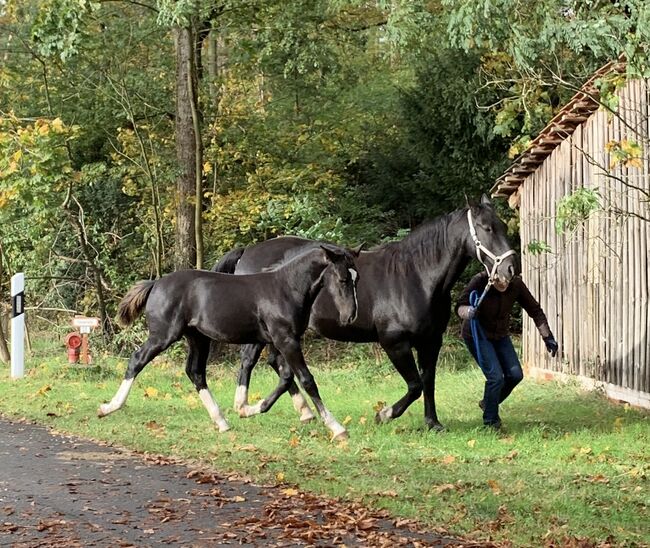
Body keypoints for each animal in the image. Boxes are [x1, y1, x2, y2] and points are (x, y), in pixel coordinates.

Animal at [97, 246, 360, 438]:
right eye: (342, 279)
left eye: (356, 279)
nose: (350, 316)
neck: (285, 289)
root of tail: (155, 284)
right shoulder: (285, 340)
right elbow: (306, 379)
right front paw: (337, 427)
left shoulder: (283, 340)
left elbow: (286, 377)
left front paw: (247, 409)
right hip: (163, 335)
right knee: (137, 360)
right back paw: (109, 407)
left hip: (198, 338)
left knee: (195, 372)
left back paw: (222, 421)